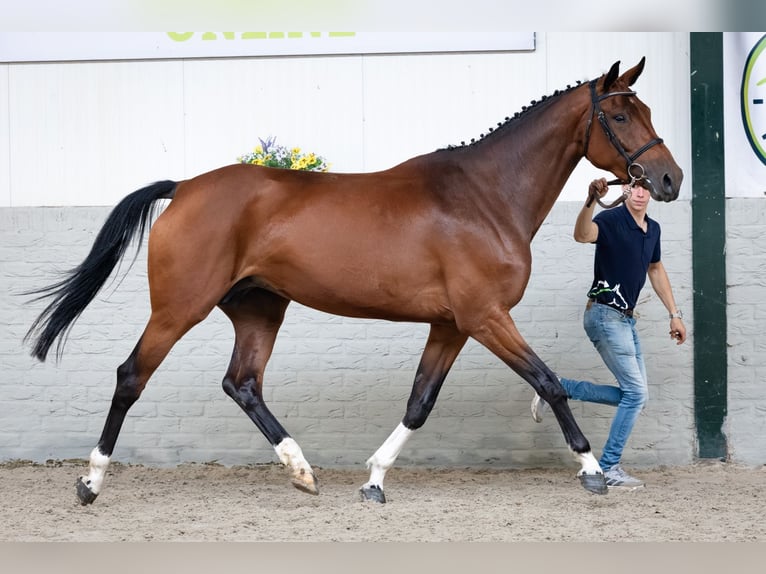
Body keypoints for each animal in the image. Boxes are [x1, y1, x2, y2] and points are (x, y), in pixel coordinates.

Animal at [25, 58, 682, 505]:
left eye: (647, 111)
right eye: (619, 115)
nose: (669, 179)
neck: (484, 196)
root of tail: (184, 187)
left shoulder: (451, 325)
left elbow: (420, 402)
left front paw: (374, 479)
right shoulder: (486, 317)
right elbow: (549, 382)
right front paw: (592, 471)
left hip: (260, 309)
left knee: (243, 384)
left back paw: (302, 471)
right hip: (178, 308)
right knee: (131, 376)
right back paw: (90, 481)